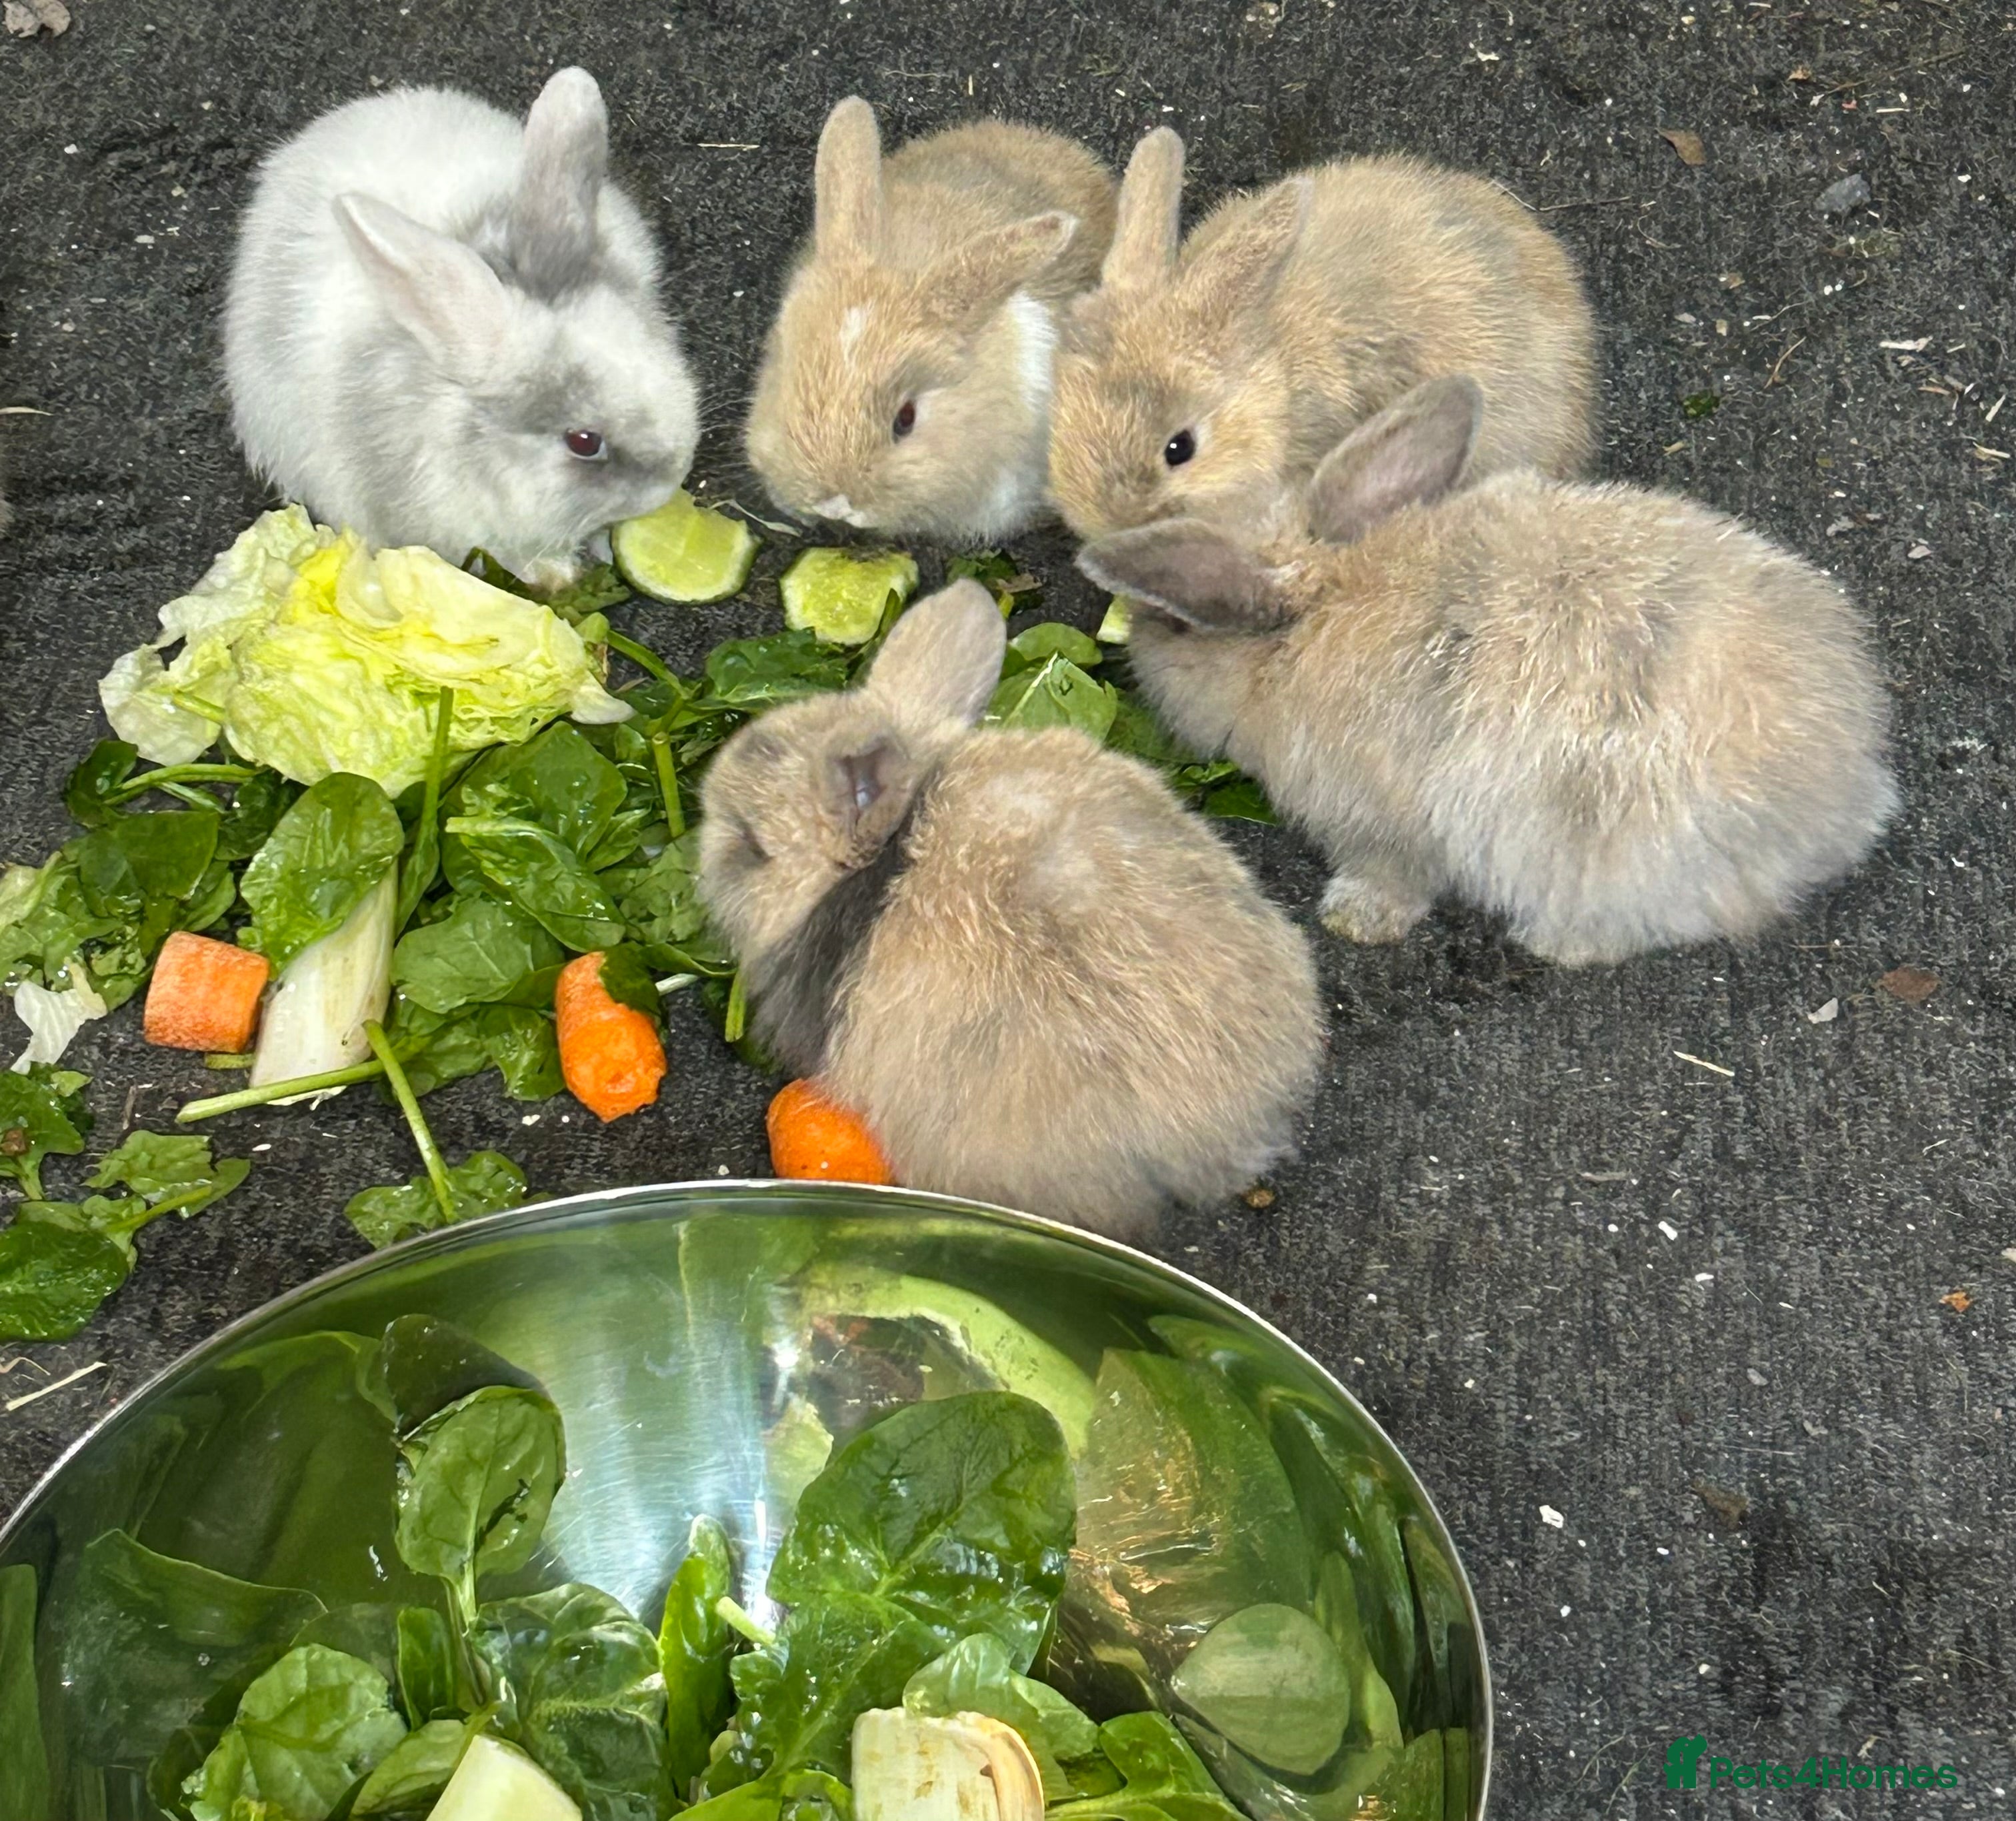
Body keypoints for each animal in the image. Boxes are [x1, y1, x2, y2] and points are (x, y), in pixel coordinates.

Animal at [1078, 376, 1898, 966]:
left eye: (1177, 621)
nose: (1134, 638)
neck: (1324, 600)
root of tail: (1845, 797)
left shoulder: (1381, 825)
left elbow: (1394, 876)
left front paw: (1352, 918)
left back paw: (1554, 943)